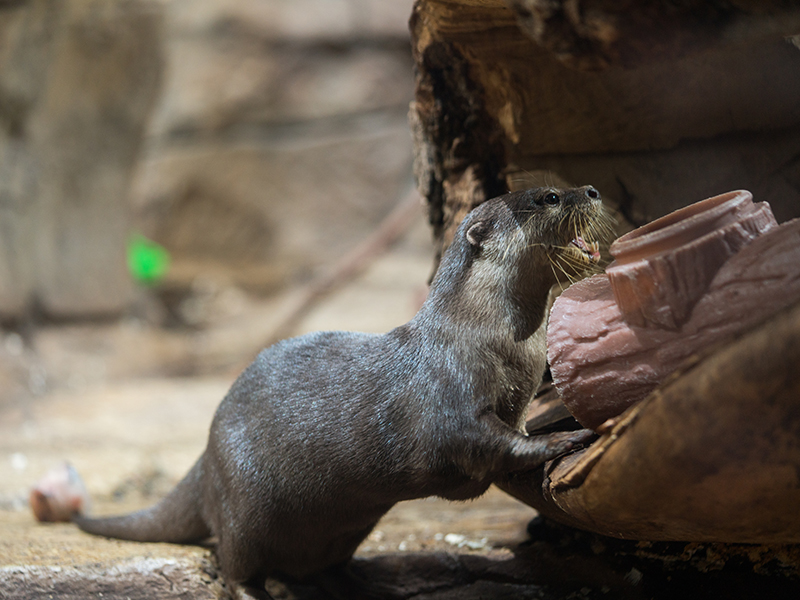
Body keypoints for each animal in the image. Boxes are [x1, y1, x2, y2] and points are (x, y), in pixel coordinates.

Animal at [67, 186, 607, 596]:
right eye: (547, 197)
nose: (591, 190)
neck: (486, 339)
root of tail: (206, 457)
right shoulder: (448, 400)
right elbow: (487, 442)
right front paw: (561, 441)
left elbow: (512, 433)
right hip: (244, 507)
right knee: (235, 562)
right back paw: (258, 590)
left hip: (342, 526)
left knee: (321, 568)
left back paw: (367, 584)